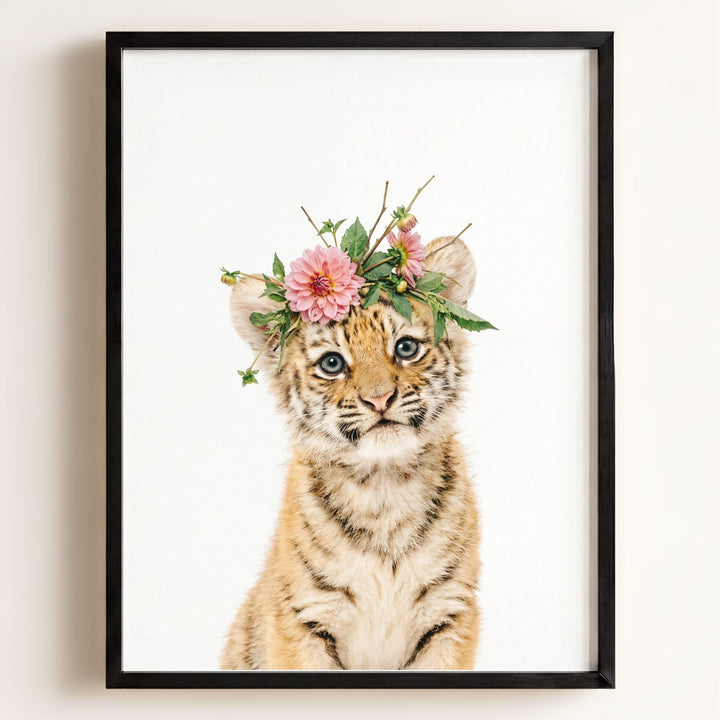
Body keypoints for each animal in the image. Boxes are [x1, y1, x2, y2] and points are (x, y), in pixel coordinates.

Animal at [221, 236, 481, 670]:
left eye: (405, 347)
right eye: (332, 363)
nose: (379, 399)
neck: (384, 485)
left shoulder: (449, 613)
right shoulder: (303, 618)